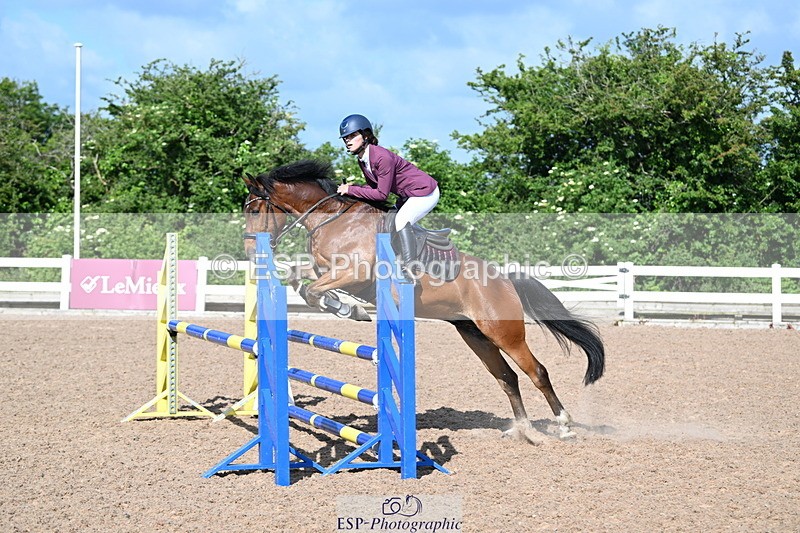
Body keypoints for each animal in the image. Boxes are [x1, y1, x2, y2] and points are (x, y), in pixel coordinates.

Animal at [241, 159, 605, 441]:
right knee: (507, 377)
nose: (249, 251)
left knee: (537, 372)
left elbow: (313, 289)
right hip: (475, 335)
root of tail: (504, 279)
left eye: (255, 209)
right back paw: (522, 429)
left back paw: (564, 426)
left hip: (504, 332)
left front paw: (350, 308)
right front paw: (343, 306)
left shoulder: (354, 272)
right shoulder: (324, 269)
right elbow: (301, 281)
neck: (335, 220)